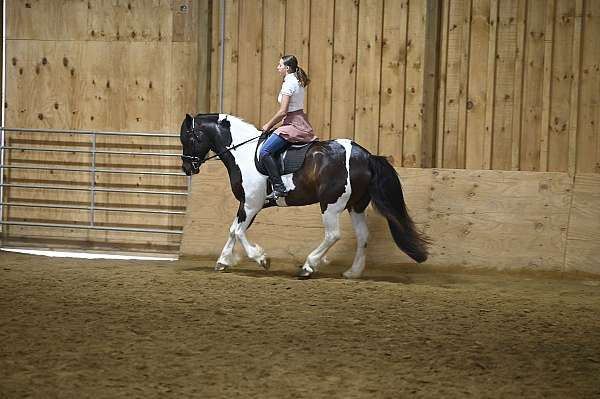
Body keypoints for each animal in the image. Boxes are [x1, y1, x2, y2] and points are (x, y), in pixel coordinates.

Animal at [180, 114, 428, 280]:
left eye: (189, 137)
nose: (187, 168)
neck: (243, 152)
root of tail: (366, 156)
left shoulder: (251, 204)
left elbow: (239, 231)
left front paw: (261, 259)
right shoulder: (248, 204)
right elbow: (233, 230)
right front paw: (223, 261)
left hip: (331, 204)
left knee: (333, 235)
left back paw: (308, 266)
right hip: (355, 206)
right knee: (362, 236)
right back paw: (352, 272)